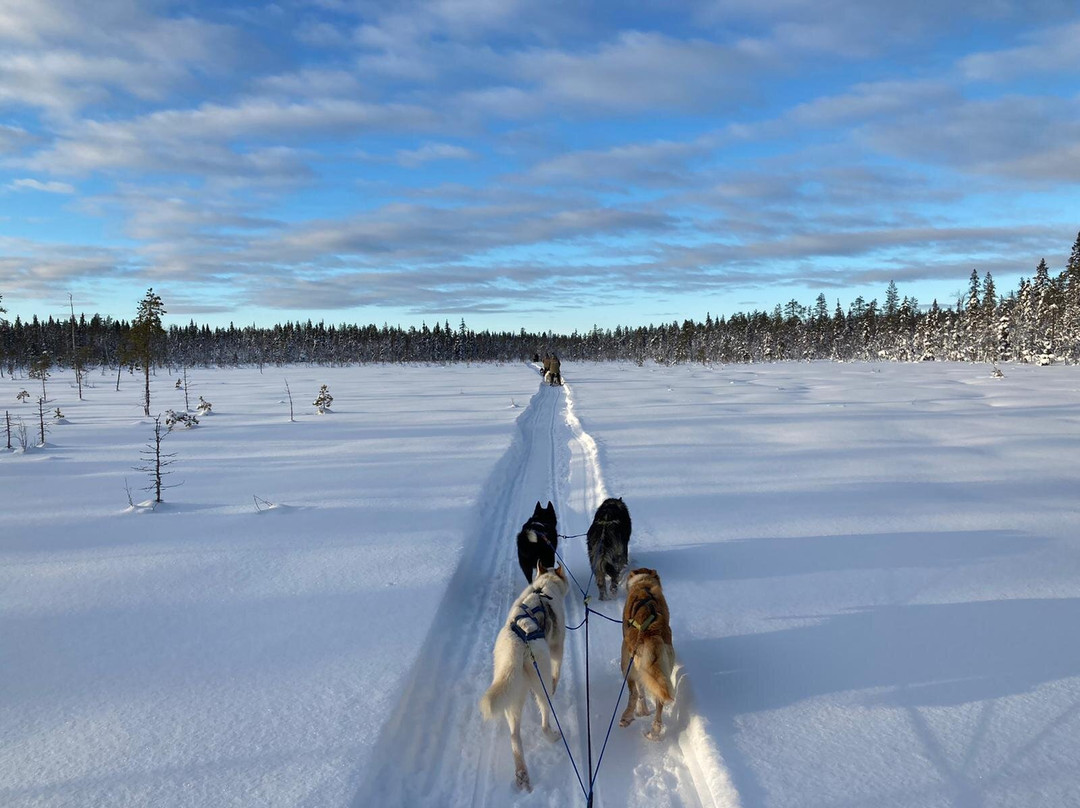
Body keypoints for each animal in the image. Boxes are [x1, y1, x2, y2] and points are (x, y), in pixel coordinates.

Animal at [479, 561, 570, 790]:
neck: (543, 587)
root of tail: (518, 643)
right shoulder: (557, 651)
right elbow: (557, 674)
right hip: (541, 682)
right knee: (544, 721)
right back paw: (553, 736)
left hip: (512, 697)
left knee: (514, 737)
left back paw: (522, 773)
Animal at [622, 566, 669, 738]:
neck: (644, 584)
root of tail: (649, 632)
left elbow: (640, 690)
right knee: (659, 701)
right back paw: (655, 732)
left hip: (627, 665)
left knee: (634, 693)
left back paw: (627, 717)